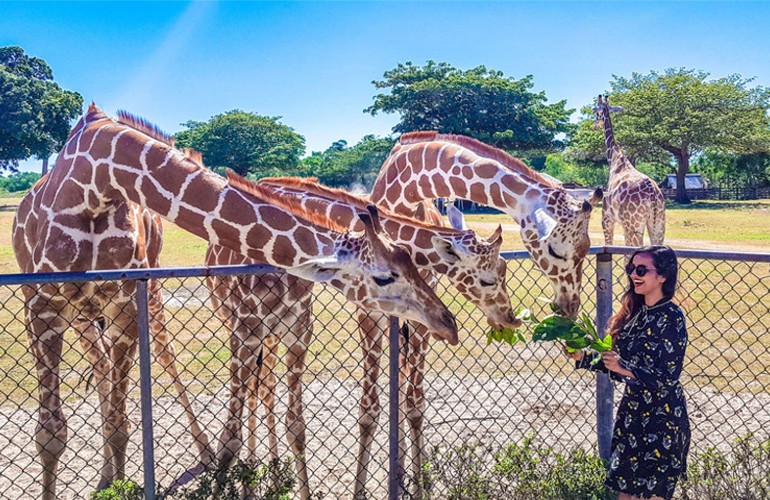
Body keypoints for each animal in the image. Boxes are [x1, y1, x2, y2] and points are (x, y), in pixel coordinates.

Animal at [12, 103, 456, 498]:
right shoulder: (45, 304)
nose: (447, 322)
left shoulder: (290, 329)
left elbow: (291, 425)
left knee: (121, 374)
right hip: (124, 304)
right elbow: (51, 436)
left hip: (110, 312)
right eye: (385, 275)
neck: (101, 179)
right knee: (148, 365)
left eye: (414, 261)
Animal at [202, 174, 516, 498]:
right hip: (245, 326)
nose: (510, 317)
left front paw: (419, 485)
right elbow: (369, 409)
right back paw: (258, 480)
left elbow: (413, 404)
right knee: (259, 388)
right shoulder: (256, 324)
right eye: (489, 279)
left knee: (265, 386)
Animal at [364, 131, 604, 498]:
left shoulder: (423, 316)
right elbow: (371, 409)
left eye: (588, 249)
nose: (570, 306)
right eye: (556, 250)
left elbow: (414, 403)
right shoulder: (369, 314)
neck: (403, 197)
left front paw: (421, 487)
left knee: (407, 388)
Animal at [592, 94, 664, 245]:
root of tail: (654, 195)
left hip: (635, 226)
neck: (614, 159)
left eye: (596, 112)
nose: (595, 126)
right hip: (658, 224)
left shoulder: (606, 218)